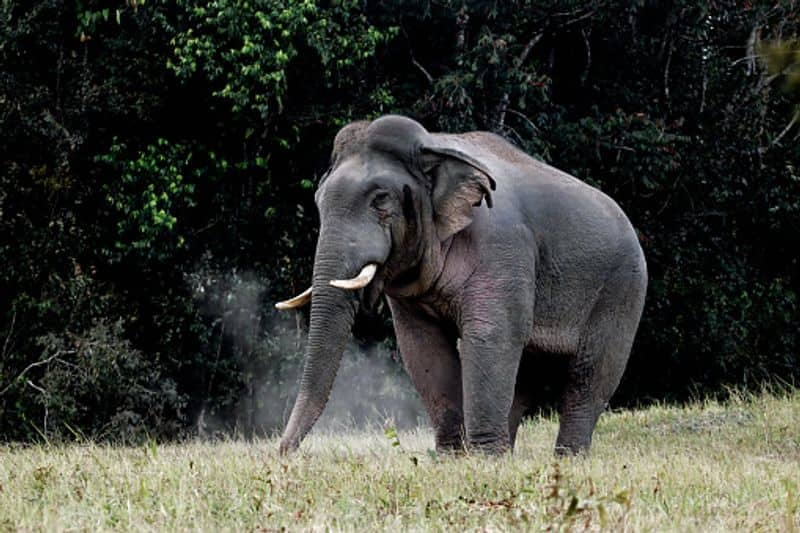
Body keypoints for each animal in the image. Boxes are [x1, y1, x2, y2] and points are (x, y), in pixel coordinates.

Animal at [278, 114, 648, 456]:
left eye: (380, 198)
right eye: (318, 200)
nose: (284, 454)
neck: (432, 145)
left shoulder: (501, 247)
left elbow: (490, 334)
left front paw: (482, 460)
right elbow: (422, 346)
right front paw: (454, 458)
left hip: (622, 289)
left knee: (590, 374)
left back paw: (566, 458)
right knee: (526, 371)